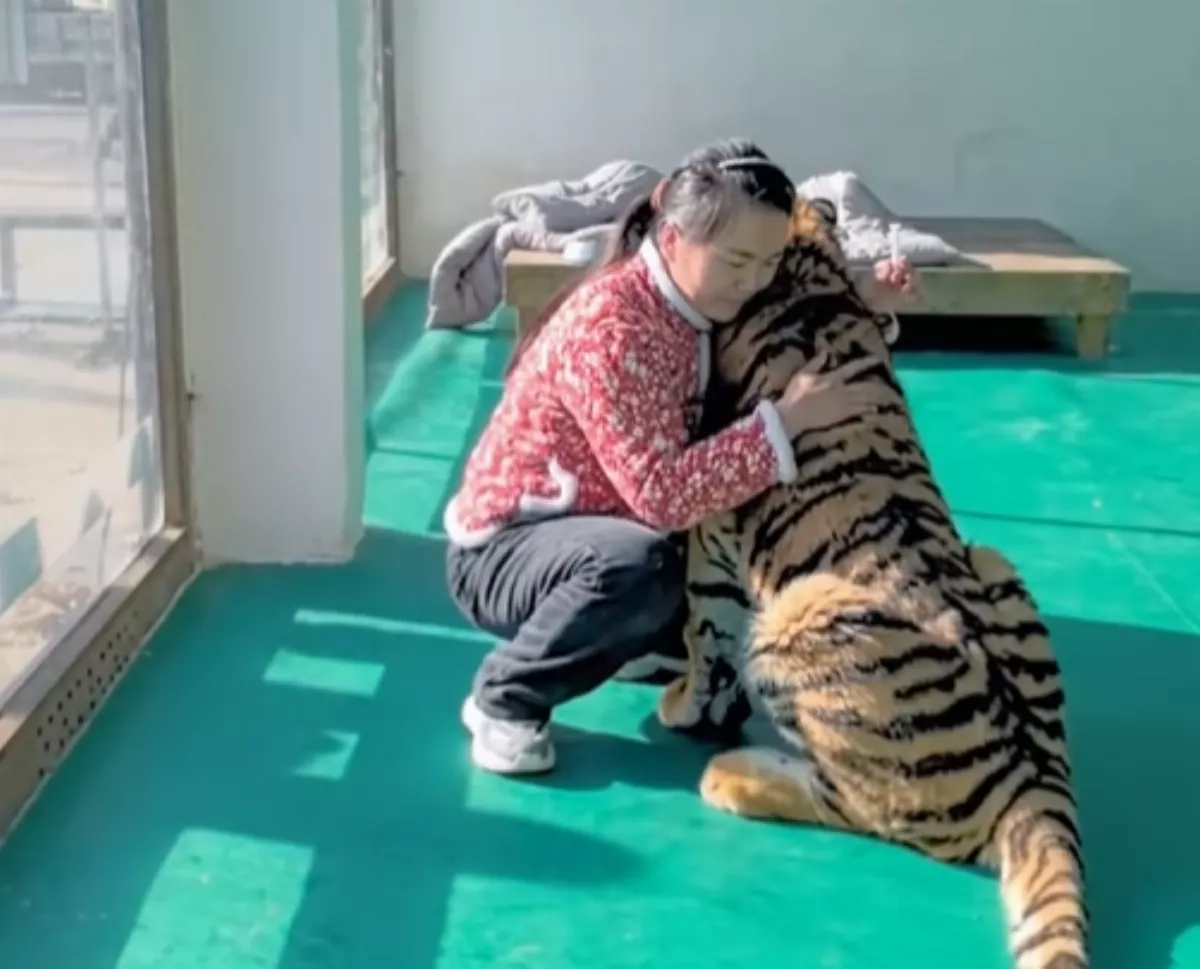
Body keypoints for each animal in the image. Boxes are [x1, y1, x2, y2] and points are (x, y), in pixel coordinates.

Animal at [656, 197, 1087, 969]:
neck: (811, 273)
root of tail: (1032, 774)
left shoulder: (713, 524)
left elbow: (706, 627)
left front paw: (684, 703)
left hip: (794, 615)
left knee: (857, 809)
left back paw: (733, 775)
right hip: (994, 560)